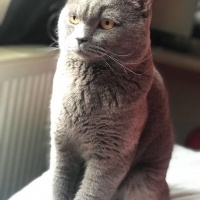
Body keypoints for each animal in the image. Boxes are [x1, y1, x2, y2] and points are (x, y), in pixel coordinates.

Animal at [49, 0, 173, 200]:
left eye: (107, 23)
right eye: (74, 18)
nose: (80, 39)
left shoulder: (111, 156)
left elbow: (91, 192)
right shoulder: (60, 143)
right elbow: (58, 183)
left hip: (142, 182)